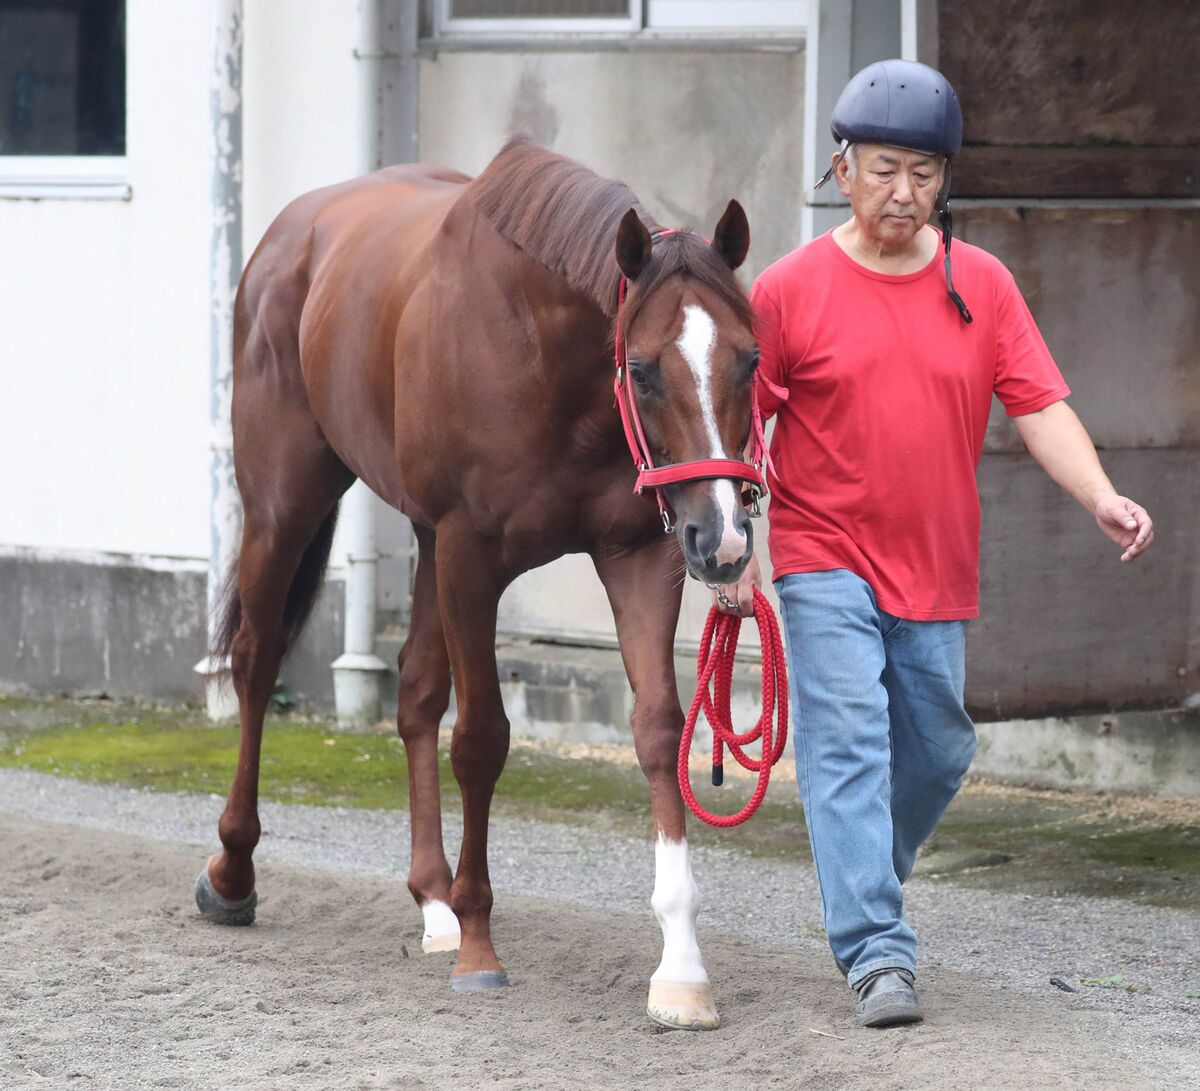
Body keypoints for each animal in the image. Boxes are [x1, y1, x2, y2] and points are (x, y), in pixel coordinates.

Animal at [194, 136, 758, 1032]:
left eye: (751, 358)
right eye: (640, 369)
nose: (726, 537)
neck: (544, 356)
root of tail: (289, 234)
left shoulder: (639, 555)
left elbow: (658, 731)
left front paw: (681, 966)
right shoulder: (470, 553)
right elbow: (483, 737)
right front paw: (480, 946)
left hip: (423, 538)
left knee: (416, 690)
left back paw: (432, 902)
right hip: (285, 503)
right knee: (255, 660)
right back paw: (233, 873)